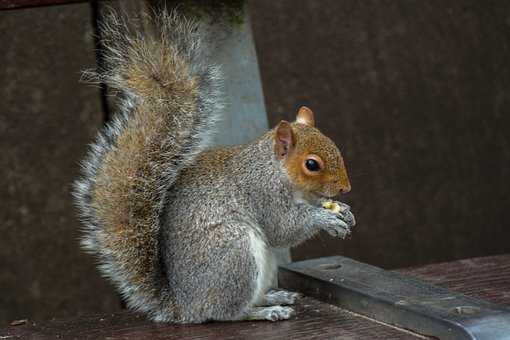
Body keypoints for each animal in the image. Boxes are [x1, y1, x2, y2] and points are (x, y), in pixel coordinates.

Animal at [73, 9, 354, 324]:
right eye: (312, 164)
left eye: (334, 145)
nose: (346, 188)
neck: (276, 171)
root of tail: (185, 306)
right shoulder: (262, 193)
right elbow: (283, 228)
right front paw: (325, 218)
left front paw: (344, 212)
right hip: (235, 252)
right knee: (228, 312)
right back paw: (265, 311)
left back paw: (273, 296)